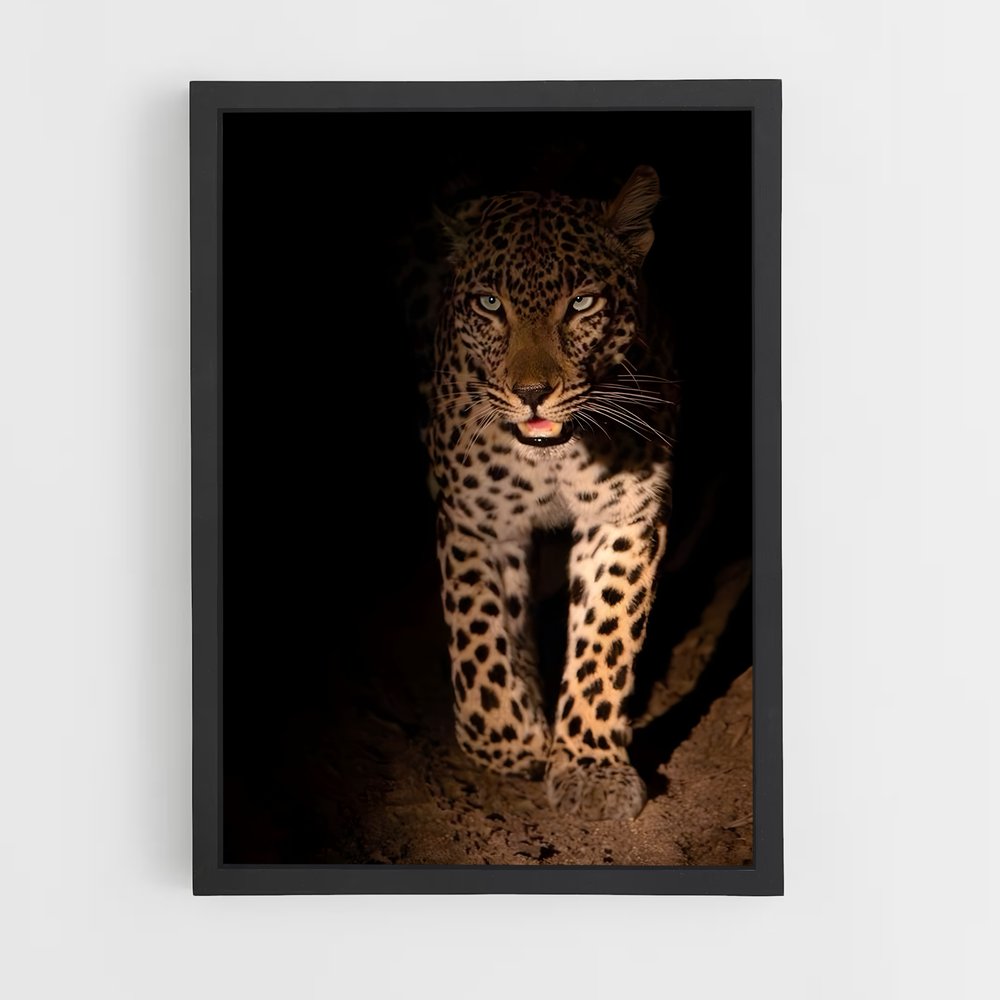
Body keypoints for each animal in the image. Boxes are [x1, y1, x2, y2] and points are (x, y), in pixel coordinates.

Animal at [426, 166, 674, 821]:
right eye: (490, 304)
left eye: (581, 303)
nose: (533, 393)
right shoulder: (475, 522)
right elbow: (478, 644)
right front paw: (515, 741)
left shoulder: (625, 515)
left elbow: (605, 638)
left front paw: (591, 767)